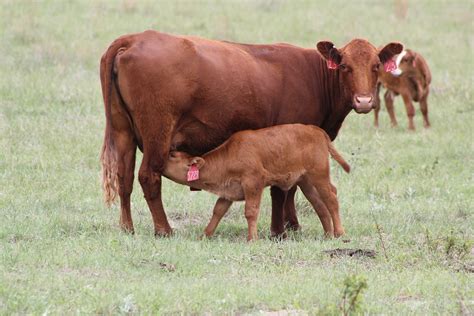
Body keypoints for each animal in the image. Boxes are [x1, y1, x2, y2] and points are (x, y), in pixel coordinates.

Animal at [161, 123, 350, 239]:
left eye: (173, 155)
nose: (159, 162)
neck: (230, 156)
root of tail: (315, 129)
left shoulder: (253, 183)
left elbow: (251, 211)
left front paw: (252, 239)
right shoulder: (229, 191)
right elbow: (218, 211)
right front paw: (205, 235)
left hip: (319, 176)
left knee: (331, 198)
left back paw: (339, 233)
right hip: (306, 182)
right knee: (319, 204)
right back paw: (328, 234)